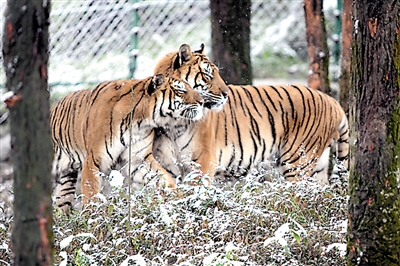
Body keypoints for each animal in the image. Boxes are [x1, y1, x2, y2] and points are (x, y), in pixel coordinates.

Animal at [51, 74, 205, 213]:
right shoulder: (94, 160)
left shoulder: (138, 159)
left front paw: (178, 199)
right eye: (181, 90)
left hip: (65, 181)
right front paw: (92, 216)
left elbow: (163, 177)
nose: (202, 101)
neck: (141, 121)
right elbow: (91, 194)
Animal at [152, 44, 348, 185]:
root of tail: (332, 101)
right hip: (317, 167)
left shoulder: (203, 163)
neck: (172, 120)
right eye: (207, 75)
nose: (226, 94)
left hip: (298, 161)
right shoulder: (169, 166)